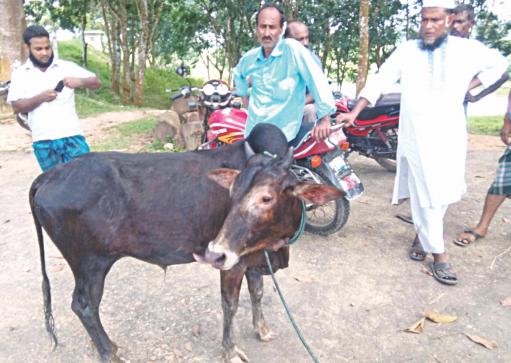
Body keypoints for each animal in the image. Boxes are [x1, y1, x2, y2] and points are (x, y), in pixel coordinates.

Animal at [31, 124, 344, 362]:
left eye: (266, 197)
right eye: (232, 192)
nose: (214, 252)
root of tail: (49, 175)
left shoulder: (254, 257)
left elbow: (257, 292)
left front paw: (262, 330)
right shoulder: (231, 262)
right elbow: (230, 304)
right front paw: (231, 350)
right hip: (90, 263)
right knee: (84, 305)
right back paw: (109, 353)